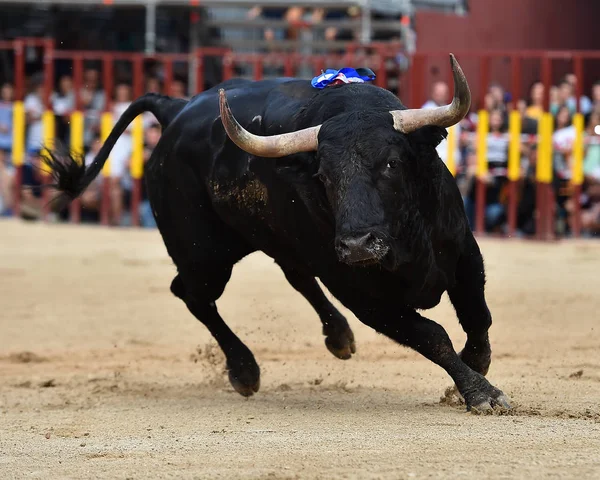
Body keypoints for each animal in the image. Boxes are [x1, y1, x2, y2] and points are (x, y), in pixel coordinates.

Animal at [44, 54, 508, 410]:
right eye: (323, 175)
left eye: (392, 163)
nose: (358, 244)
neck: (403, 240)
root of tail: (175, 110)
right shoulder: (362, 295)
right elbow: (432, 336)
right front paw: (479, 391)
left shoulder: (465, 252)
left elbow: (477, 314)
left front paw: (476, 365)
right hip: (203, 254)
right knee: (193, 294)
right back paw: (244, 369)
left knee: (294, 275)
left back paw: (338, 337)